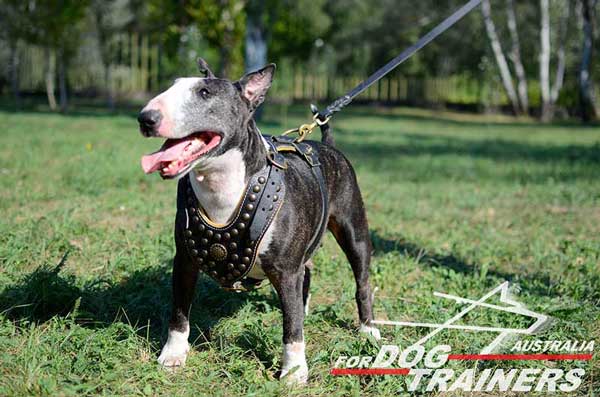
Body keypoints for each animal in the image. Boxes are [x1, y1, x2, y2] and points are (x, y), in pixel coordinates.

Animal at [137, 60, 380, 382]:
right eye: (170, 86)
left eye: (204, 93)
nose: (145, 118)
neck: (222, 186)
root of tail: (326, 144)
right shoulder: (185, 260)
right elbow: (179, 311)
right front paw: (173, 355)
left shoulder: (285, 269)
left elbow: (291, 327)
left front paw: (293, 371)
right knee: (306, 276)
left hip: (354, 232)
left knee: (361, 282)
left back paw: (368, 329)